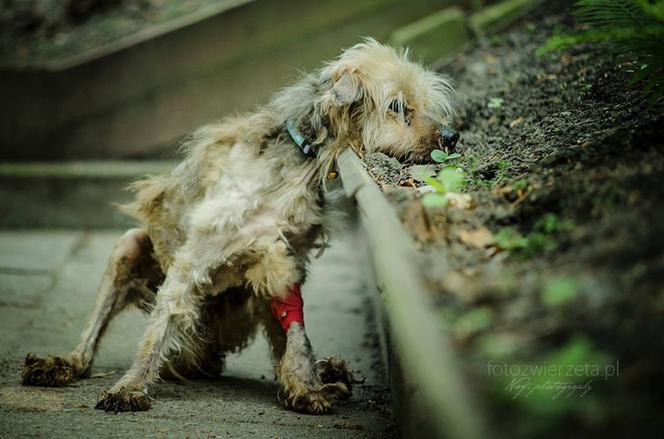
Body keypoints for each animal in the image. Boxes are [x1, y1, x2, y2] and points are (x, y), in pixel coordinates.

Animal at [20, 38, 456, 416]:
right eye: (397, 106)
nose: (452, 136)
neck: (298, 161)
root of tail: (199, 357)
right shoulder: (196, 258)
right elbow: (158, 327)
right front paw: (130, 386)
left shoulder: (284, 261)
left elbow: (296, 332)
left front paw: (305, 386)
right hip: (128, 247)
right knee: (89, 348)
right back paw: (60, 364)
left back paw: (327, 373)